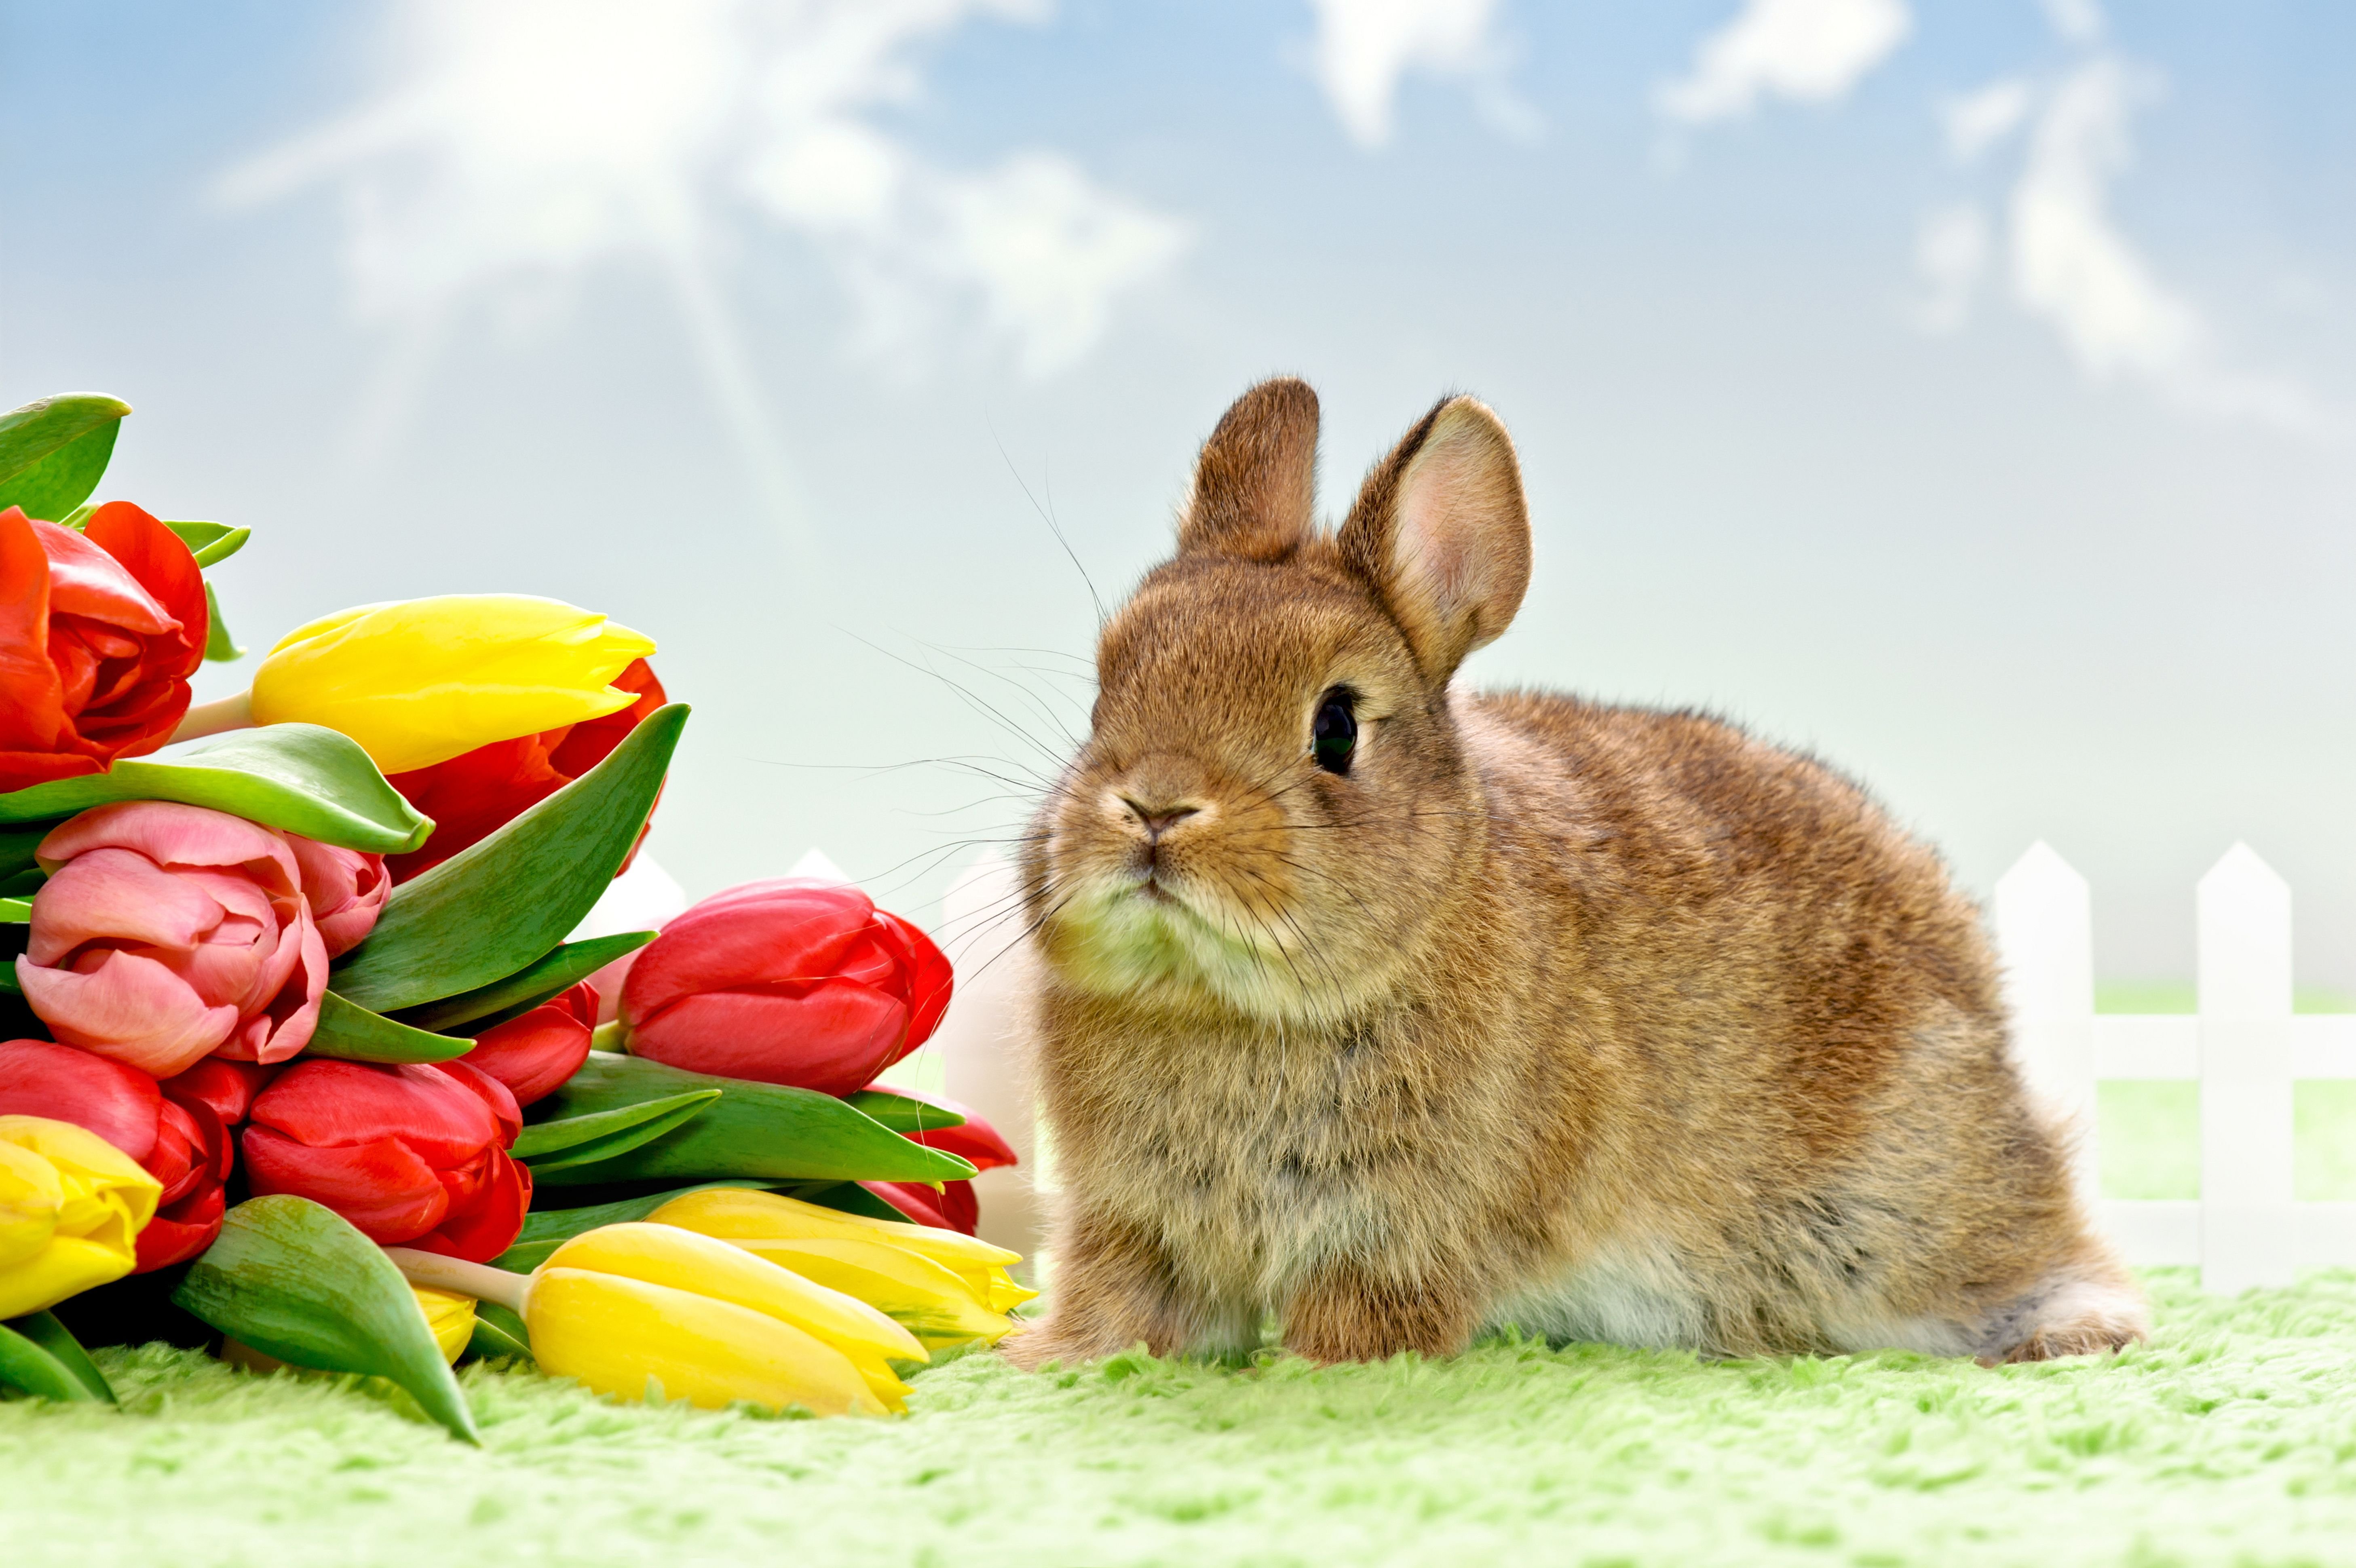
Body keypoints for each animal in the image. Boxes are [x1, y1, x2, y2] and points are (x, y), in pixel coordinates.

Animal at [1004, 377, 2147, 1370]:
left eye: (1335, 728)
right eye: (1107, 689)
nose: (1152, 806)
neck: (1232, 1001)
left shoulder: (1402, 1239)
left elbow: (1360, 1326)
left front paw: (1315, 1373)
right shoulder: (1132, 1224)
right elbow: (1125, 1311)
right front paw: (1049, 1359)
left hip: (1894, 1205)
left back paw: (2073, 1330)